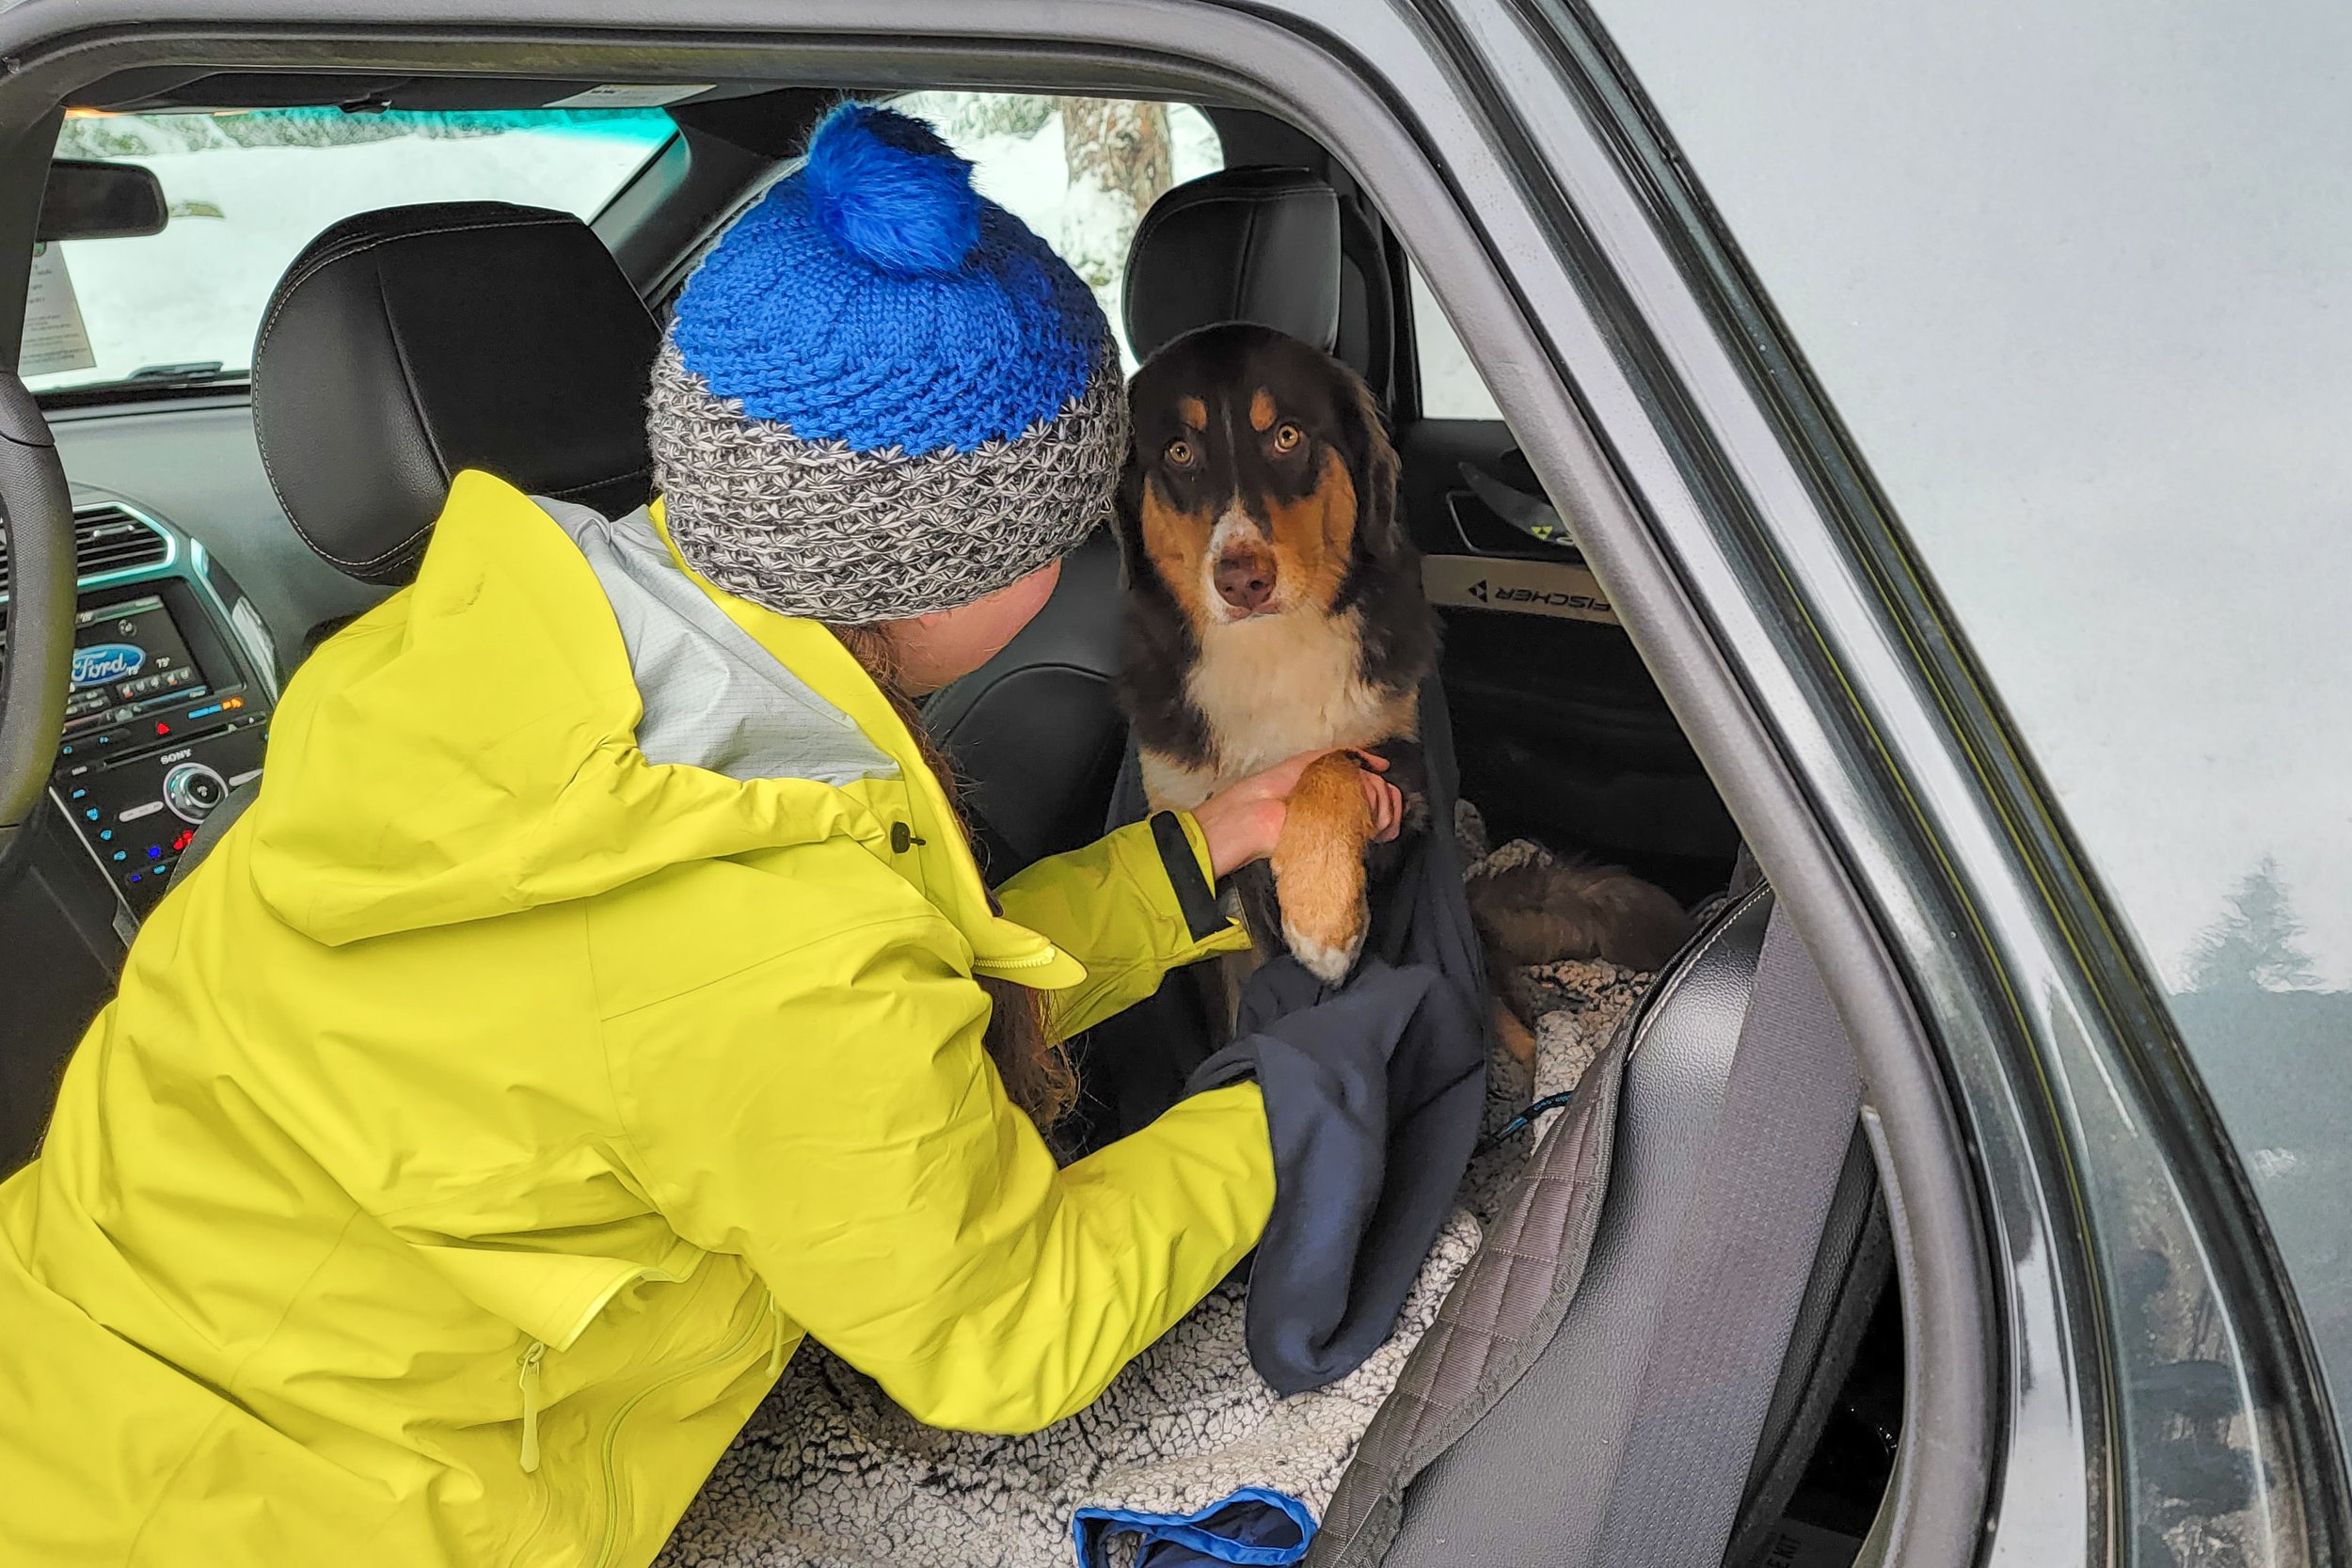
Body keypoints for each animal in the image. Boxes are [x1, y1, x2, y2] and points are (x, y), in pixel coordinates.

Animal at [1120, 322, 1693, 1053]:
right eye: (1180, 451)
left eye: (1287, 436)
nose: (1242, 580)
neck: (1270, 653)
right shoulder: (1190, 826)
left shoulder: (1408, 780)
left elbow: (1331, 763)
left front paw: (1322, 915)